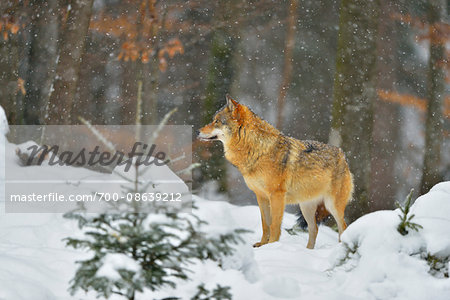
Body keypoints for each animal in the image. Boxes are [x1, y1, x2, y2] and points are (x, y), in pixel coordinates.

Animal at [199, 95, 354, 248]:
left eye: (216, 121)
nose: (197, 131)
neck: (257, 149)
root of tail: (343, 156)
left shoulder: (276, 195)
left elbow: (274, 225)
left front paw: (272, 245)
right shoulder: (261, 196)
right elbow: (265, 224)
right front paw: (262, 244)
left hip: (332, 206)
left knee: (343, 227)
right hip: (306, 207)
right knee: (314, 229)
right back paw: (308, 251)